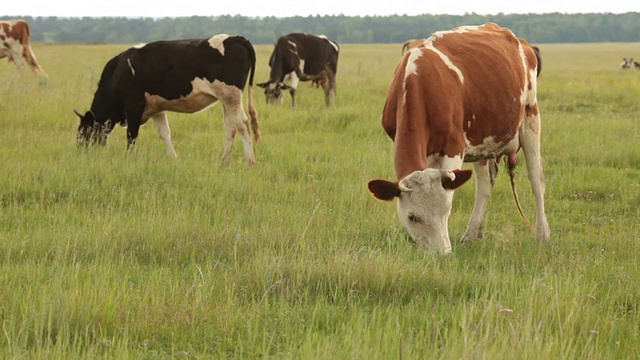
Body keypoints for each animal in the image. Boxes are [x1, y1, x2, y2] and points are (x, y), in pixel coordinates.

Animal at [76, 33, 262, 166]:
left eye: (84, 132)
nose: (81, 154)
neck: (118, 72)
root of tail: (235, 38)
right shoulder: (156, 109)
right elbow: (164, 133)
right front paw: (173, 157)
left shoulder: (134, 107)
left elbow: (132, 134)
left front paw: (128, 158)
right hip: (229, 100)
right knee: (231, 127)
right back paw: (226, 161)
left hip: (231, 97)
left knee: (242, 125)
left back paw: (248, 162)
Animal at [364, 22, 552, 255]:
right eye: (412, 216)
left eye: (447, 210)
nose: (442, 254)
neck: (419, 80)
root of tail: (521, 42)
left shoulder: (454, 146)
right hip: (482, 138)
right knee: (485, 183)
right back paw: (472, 234)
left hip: (530, 118)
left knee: (536, 177)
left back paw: (542, 233)